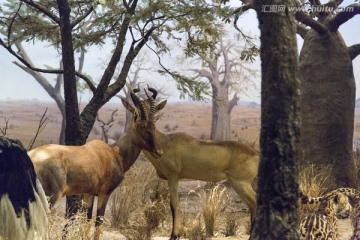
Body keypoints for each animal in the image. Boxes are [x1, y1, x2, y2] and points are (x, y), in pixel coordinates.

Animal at [28, 87, 163, 239]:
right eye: (141, 125)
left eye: (154, 125)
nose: (158, 152)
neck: (114, 152)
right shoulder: (104, 194)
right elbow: (99, 224)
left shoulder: (89, 194)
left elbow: (87, 222)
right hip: (49, 197)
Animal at [122, 87, 258, 240]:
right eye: (135, 114)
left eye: (154, 119)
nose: (158, 152)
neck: (166, 141)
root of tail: (256, 154)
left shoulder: (173, 177)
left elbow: (174, 204)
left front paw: (174, 235)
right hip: (238, 184)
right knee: (252, 207)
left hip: (241, 183)